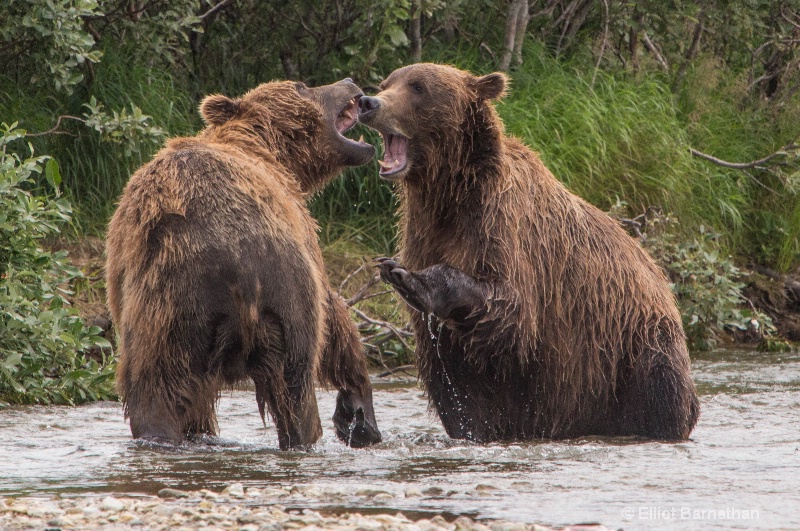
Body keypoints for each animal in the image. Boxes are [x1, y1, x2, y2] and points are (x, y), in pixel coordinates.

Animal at [108, 79, 382, 450]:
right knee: (297, 385)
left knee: (155, 393)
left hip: (167, 313)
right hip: (284, 292)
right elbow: (334, 314)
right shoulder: (304, 231)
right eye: (302, 86)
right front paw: (358, 407)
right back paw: (307, 435)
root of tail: (235, 261)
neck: (270, 150)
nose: (349, 83)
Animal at [360, 63, 696, 440]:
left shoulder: (504, 229)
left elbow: (511, 311)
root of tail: (659, 274)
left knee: (660, 386)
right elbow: (459, 391)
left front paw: (411, 279)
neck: (449, 193)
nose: (368, 102)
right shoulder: (425, 232)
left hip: (631, 343)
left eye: (418, 87)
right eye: (387, 83)